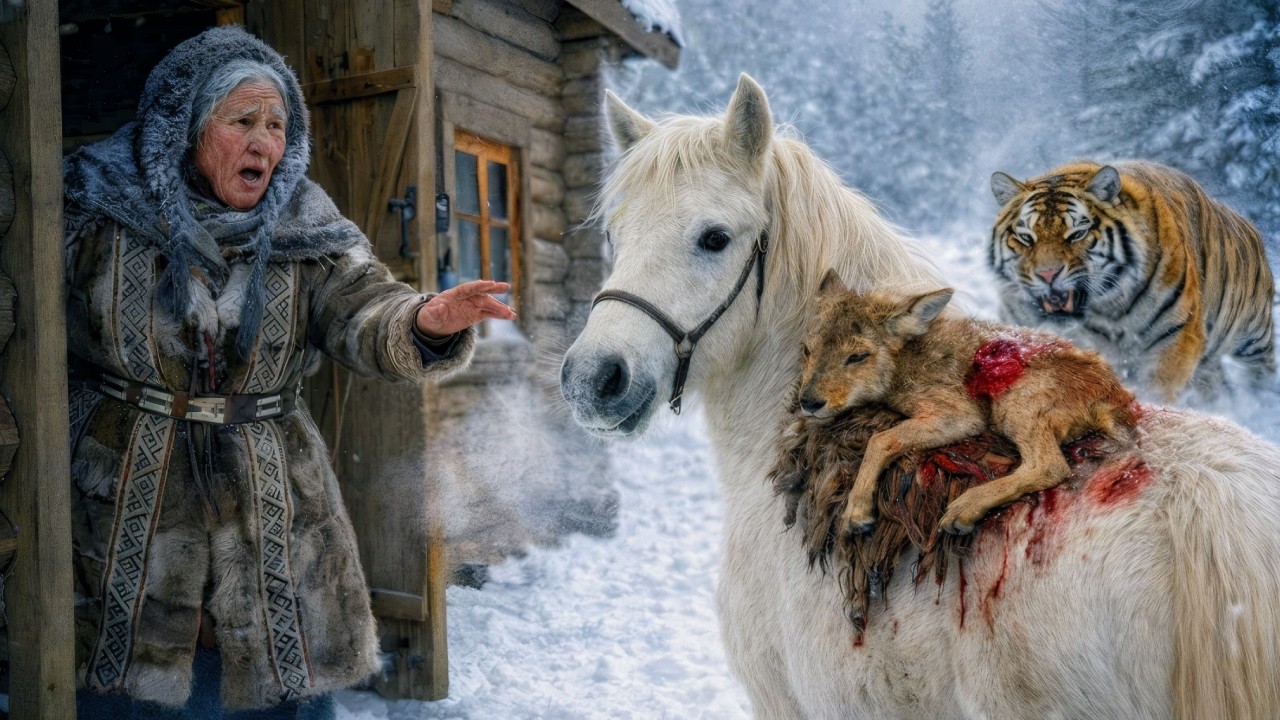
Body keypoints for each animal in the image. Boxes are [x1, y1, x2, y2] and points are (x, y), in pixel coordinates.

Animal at [988, 160, 1275, 403]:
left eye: (1077, 234)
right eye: (1026, 237)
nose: (1047, 275)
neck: (1105, 312)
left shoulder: (1175, 337)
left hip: (1254, 342)